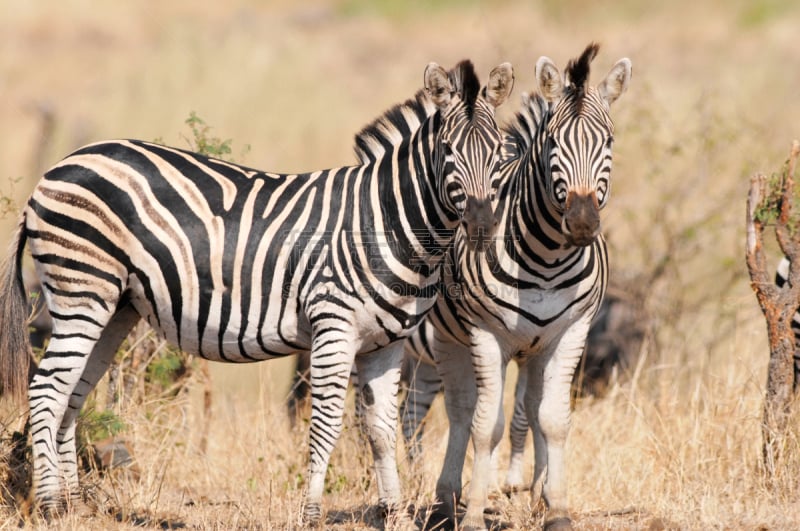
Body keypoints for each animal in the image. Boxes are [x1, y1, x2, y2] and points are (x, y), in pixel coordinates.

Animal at [0, 60, 512, 524]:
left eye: (501, 155)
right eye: (447, 150)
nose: (482, 227)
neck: (386, 221)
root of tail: (59, 168)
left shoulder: (386, 344)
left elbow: (381, 431)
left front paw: (397, 514)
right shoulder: (333, 327)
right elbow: (325, 424)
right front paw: (310, 513)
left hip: (113, 307)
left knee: (72, 395)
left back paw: (73, 505)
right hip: (81, 291)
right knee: (46, 390)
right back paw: (49, 507)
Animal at [406, 43, 632, 528]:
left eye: (608, 142)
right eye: (553, 143)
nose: (582, 223)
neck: (547, 258)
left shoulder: (569, 332)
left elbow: (553, 419)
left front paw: (556, 508)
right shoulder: (487, 335)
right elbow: (484, 426)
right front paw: (474, 514)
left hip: (532, 349)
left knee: (523, 408)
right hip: (448, 340)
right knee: (458, 412)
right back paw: (446, 501)